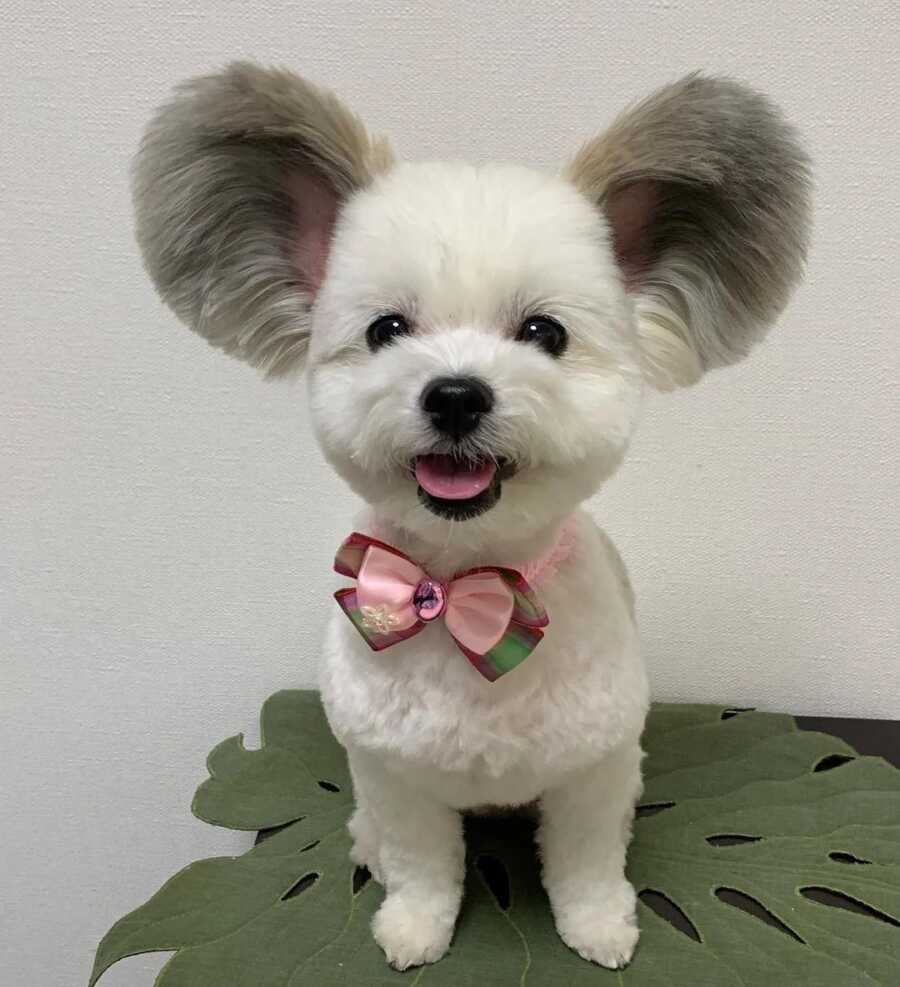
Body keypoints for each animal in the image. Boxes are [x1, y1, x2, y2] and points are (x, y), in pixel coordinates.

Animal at [135, 67, 816, 972]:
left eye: (544, 332)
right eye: (387, 329)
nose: (455, 394)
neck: (465, 590)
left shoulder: (591, 771)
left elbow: (587, 863)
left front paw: (600, 927)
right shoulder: (398, 774)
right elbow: (423, 865)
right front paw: (413, 927)